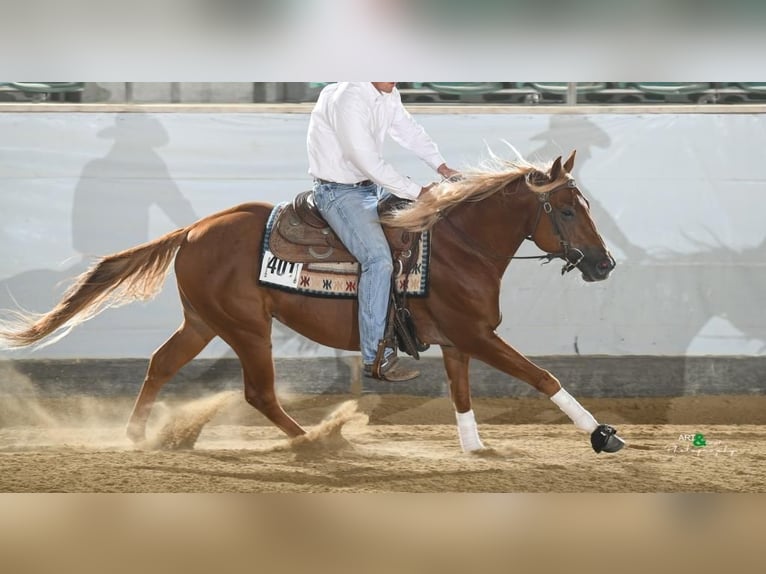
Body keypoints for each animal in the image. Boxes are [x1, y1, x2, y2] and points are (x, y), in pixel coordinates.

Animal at [0, 150, 624, 454]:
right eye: (566, 209)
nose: (604, 264)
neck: (456, 245)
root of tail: (194, 229)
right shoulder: (476, 335)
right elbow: (542, 376)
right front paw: (602, 435)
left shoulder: (457, 341)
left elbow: (463, 395)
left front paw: (475, 449)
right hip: (246, 327)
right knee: (257, 393)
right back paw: (318, 441)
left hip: (203, 322)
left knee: (160, 365)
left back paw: (134, 438)